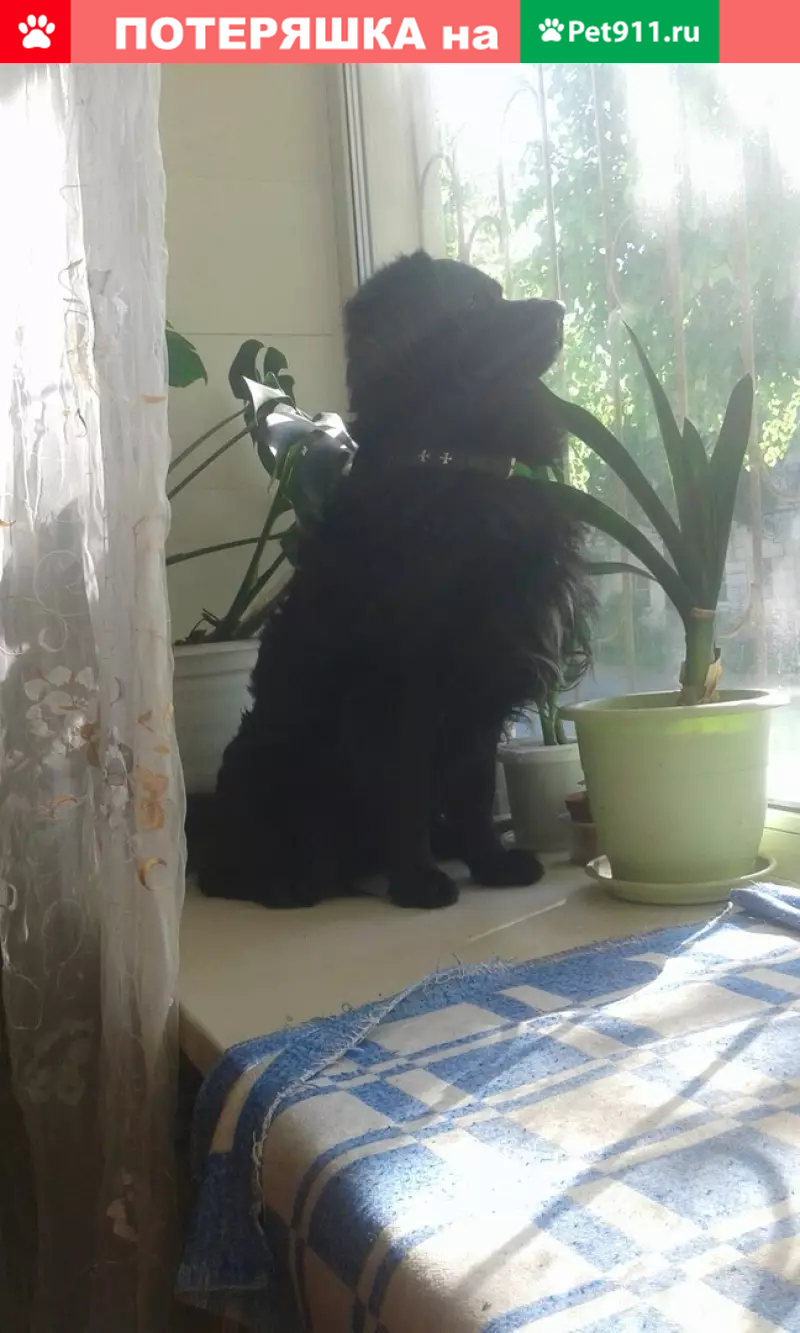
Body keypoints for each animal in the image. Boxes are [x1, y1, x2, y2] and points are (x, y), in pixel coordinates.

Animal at [194, 251, 590, 910]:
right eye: (474, 302)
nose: (559, 310)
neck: (453, 463)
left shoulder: (480, 686)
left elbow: (475, 789)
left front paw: (491, 863)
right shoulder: (397, 688)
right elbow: (403, 791)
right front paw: (418, 883)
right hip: (267, 764)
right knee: (239, 864)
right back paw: (289, 882)